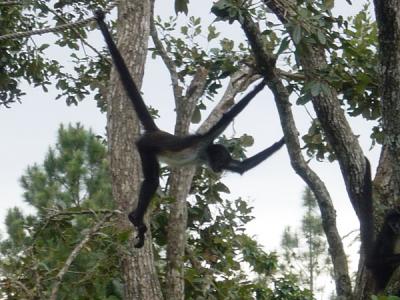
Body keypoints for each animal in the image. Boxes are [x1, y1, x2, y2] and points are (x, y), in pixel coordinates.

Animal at [95, 10, 286, 247]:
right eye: (219, 160)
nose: (220, 169)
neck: (204, 153)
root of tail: (157, 132)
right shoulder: (204, 139)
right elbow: (230, 115)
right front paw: (261, 85)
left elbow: (242, 166)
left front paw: (283, 140)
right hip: (145, 146)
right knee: (151, 180)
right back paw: (136, 218)